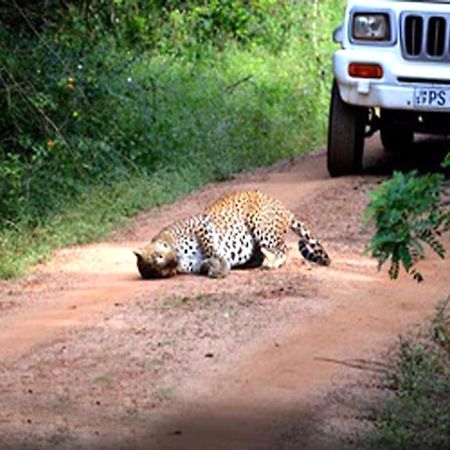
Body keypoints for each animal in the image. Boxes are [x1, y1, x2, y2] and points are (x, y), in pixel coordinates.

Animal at [134, 191, 330, 282]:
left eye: (160, 257)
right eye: (163, 271)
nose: (174, 261)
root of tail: (282, 206)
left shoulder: (201, 224)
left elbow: (212, 249)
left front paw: (221, 267)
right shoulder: (191, 264)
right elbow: (203, 263)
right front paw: (211, 267)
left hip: (258, 222)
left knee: (283, 248)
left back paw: (272, 263)